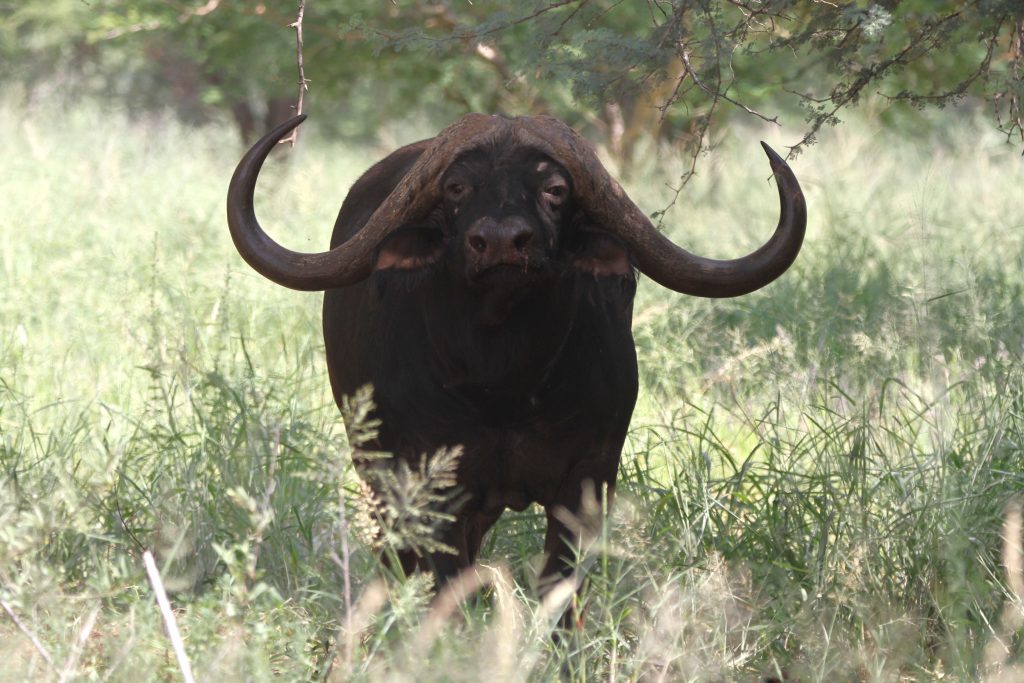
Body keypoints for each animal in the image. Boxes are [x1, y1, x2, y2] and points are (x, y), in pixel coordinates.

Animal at [226, 113, 806, 595]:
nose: (503, 242)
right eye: (457, 187)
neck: (500, 381)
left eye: (554, 189)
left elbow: (559, 591)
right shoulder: (431, 491)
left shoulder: (587, 483)